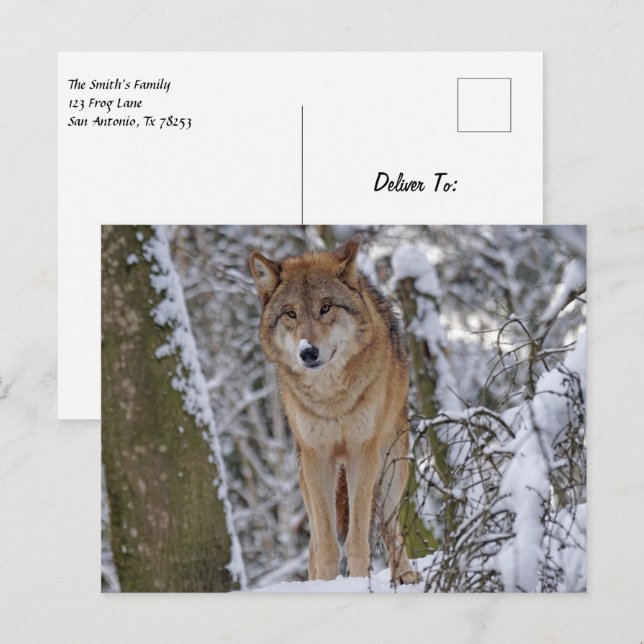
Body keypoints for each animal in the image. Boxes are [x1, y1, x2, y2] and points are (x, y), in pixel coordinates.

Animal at [250, 235, 419, 584]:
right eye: (291, 314)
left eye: (325, 308)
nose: (308, 352)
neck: (331, 399)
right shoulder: (318, 456)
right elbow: (326, 541)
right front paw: (326, 584)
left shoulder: (361, 451)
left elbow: (357, 535)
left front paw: (358, 579)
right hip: (305, 476)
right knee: (313, 541)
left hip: (393, 466)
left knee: (388, 524)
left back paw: (405, 574)